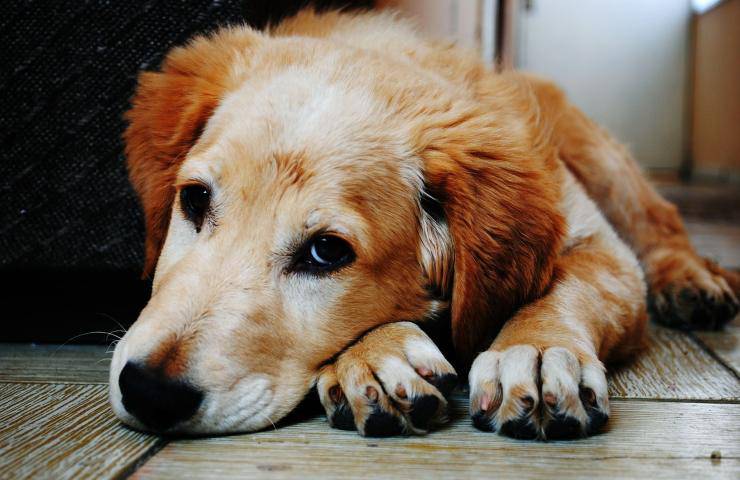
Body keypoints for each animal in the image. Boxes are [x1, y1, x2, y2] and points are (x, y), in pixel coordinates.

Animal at [107, 9, 736, 440]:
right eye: (194, 200)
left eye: (327, 252)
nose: (149, 392)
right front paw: (377, 356)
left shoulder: (600, 247)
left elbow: (568, 288)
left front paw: (535, 350)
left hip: (600, 158)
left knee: (661, 223)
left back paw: (692, 281)